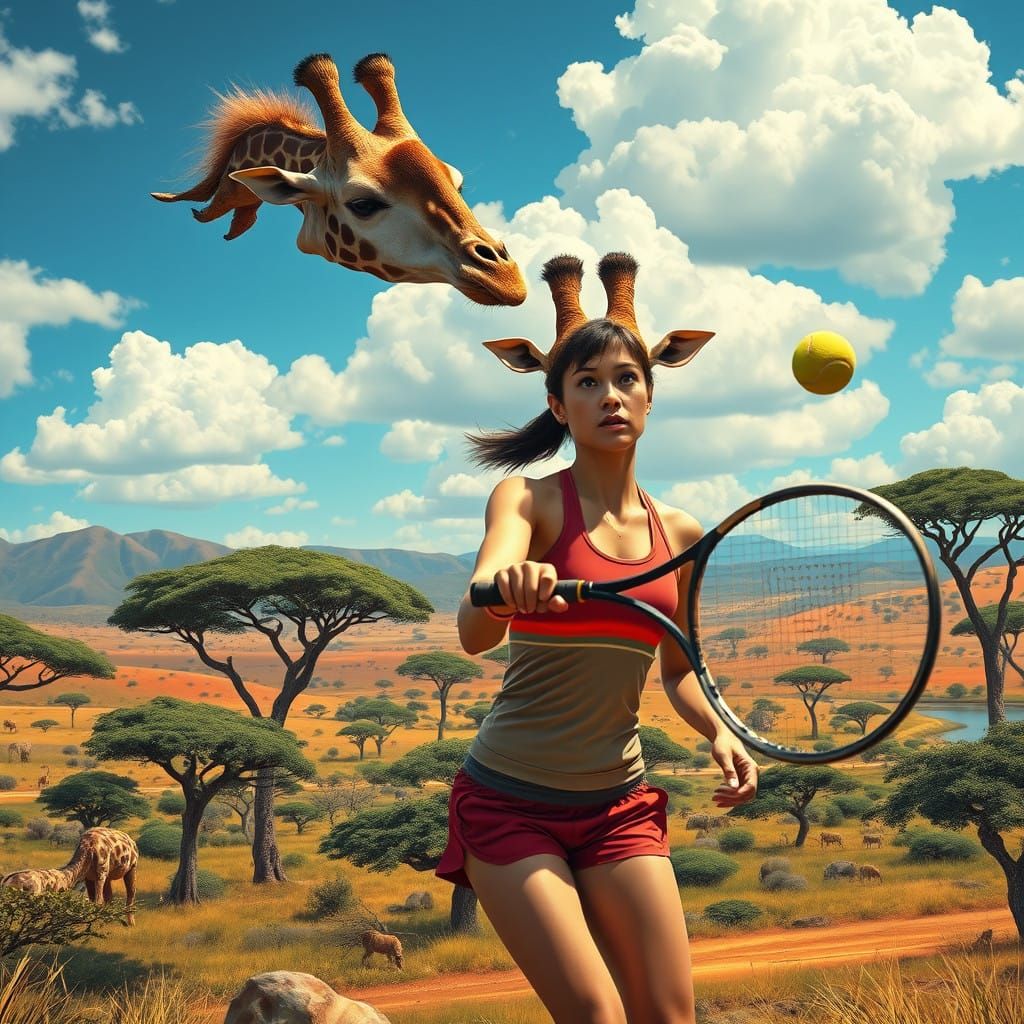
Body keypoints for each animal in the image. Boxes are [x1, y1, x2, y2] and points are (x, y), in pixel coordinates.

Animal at [1, 827, 138, 925]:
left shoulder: (101, 873)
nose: (9, 884)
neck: (88, 849)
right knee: (110, 896)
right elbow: (93, 900)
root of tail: (132, 842)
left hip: (131, 868)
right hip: (108, 876)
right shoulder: (89, 877)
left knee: (131, 893)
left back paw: (131, 923)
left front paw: (94, 924)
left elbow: (98, 901)